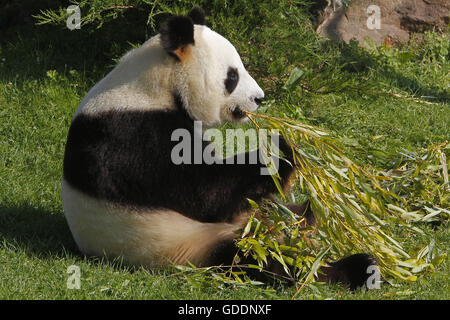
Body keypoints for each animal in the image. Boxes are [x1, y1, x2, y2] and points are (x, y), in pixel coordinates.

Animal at [60, 6, 376, 290]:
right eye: (232, 76)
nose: (259, 98)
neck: (157, 84)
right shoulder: (133, 134)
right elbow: (203, 194)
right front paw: (278, 150)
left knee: (291, 218)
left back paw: (315, 220)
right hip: (188, 245)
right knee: (261, 258)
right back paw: (351, 269)